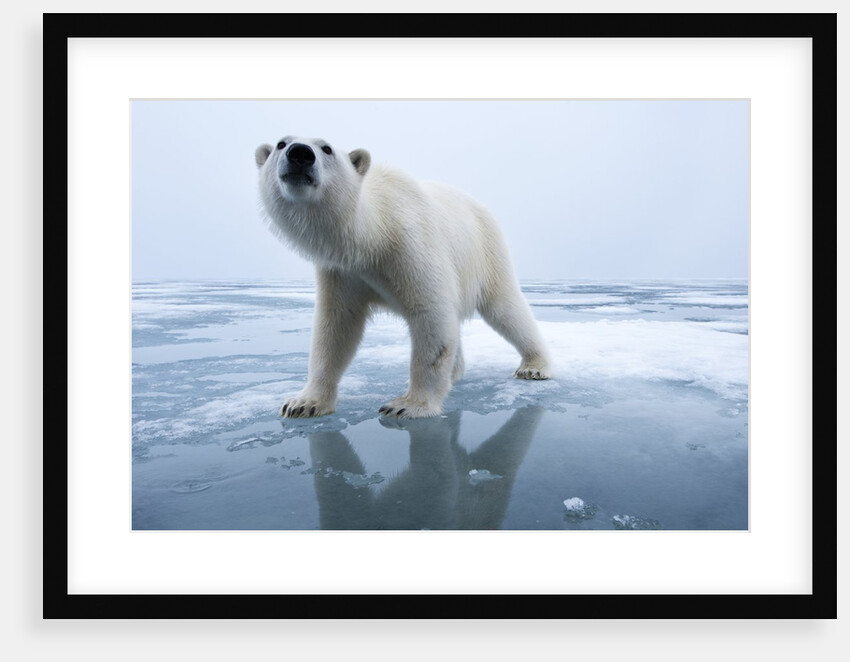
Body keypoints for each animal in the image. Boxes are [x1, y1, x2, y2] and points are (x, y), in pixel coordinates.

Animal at [255, 135, 551, 420]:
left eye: (326, 148)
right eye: (281, 144)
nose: (300, 154)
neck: (373, 234)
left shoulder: (409, 243)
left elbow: (431, 313)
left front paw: (408, 405)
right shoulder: (342, 271)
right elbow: (336, 325)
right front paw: (303, 403)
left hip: (487, 252)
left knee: (505, 309)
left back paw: (534, 366)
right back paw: (456, 372)